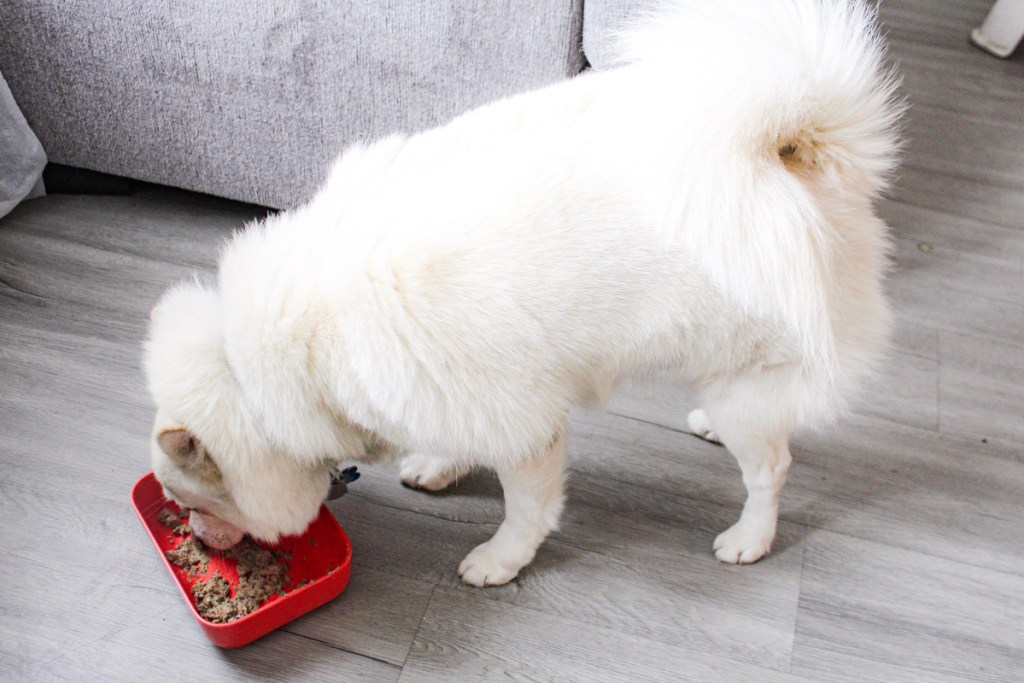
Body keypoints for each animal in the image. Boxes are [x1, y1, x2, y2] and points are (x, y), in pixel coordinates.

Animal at [142, 1, 897, 589]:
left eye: (190, 498)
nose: (195, 538)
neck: (291, 356)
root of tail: (795, 148)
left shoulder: (524, 419)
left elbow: (528, 507)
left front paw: (503, 559)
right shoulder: (458, 394)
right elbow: (452, 434)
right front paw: (440, 465)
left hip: (754, 369)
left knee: (771, 466)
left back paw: (750, 536)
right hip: (731, 364)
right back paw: (709, 424)